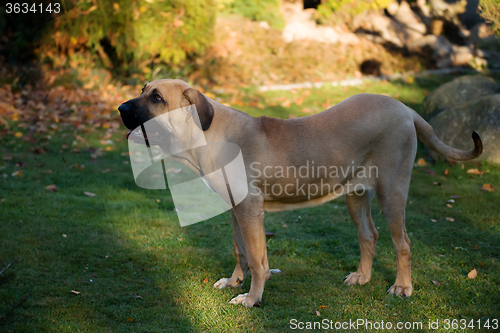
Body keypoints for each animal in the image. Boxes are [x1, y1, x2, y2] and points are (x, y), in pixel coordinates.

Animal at [117, 78, 480, 306]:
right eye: (142, 90)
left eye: (156, 98)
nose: (120, 108)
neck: (203, 134)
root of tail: (405, 108)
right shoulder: (235, 210)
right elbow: (241, 252)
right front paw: (235, 282)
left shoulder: (250, 210)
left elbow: (256, 258)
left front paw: (251, 299)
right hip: (355, 194)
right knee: (369, 235)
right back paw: (362, 277)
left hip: (392, 192)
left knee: (402, 242)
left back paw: (402, 286)